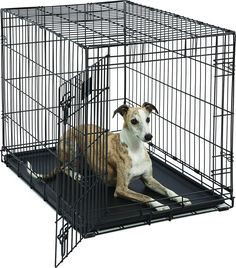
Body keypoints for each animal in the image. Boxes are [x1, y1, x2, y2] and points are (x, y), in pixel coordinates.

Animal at [26, 101, 192, 210]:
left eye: (148, 119)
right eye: (134, 121)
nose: (148, 137)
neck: (135, 149)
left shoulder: (148, 180)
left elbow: (168, 190)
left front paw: (181, 198)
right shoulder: (121, 189)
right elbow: (146, 197)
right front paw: (160, 205)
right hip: (72, 148)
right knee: (64, 168)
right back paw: (77, 176)